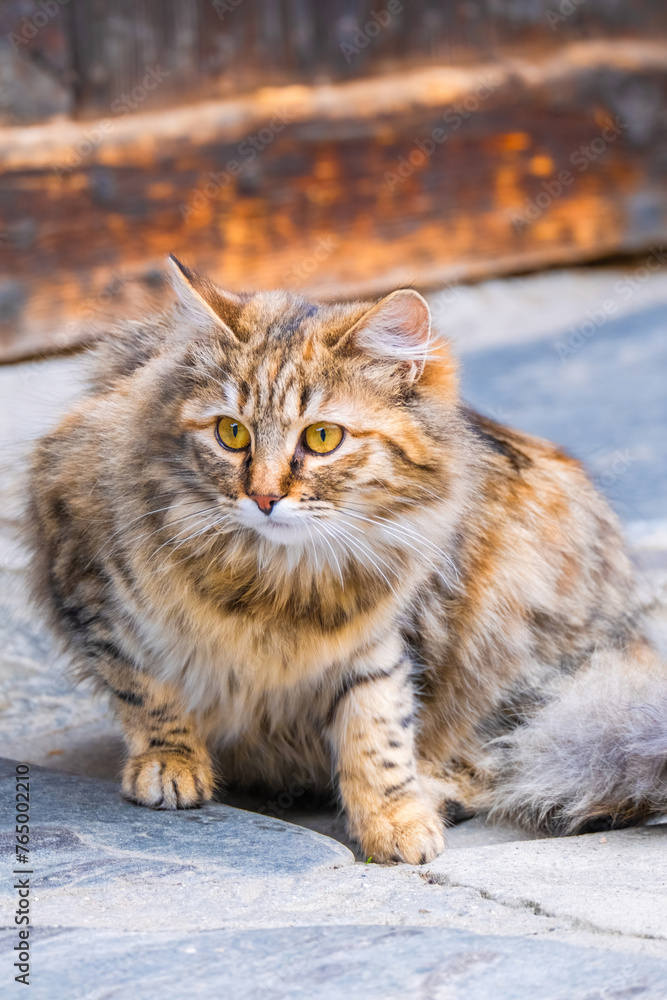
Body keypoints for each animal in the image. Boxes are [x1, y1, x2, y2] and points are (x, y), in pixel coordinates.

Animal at [24, 254, 667, 864]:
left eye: (322, 438)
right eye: (231, 433)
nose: (263, 497)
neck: (268, 584)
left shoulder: (376, 639)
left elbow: (377, 732)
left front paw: (395, 819)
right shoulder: (94, 586)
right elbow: (148, 690)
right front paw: (171, 764)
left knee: (512, 754)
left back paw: (439, 791)